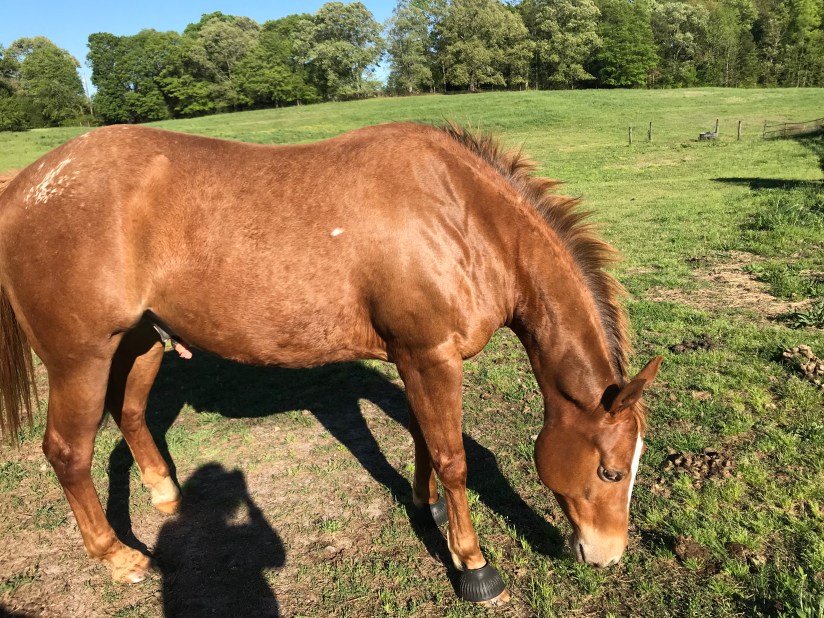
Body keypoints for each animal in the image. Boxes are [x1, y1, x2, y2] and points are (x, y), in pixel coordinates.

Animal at [0, 122, 661, 605]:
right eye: (610, 472)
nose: (607, 555)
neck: (461, 217)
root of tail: (25, 185)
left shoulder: (415, 358)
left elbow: (424, 439)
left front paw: (428, 509)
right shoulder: (432, 356)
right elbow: (453, 458)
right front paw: (473, 564)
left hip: (141, 342)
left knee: (132, 415)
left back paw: (166, 497)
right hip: (81, 359)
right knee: (68, 452)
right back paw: (117, 557)